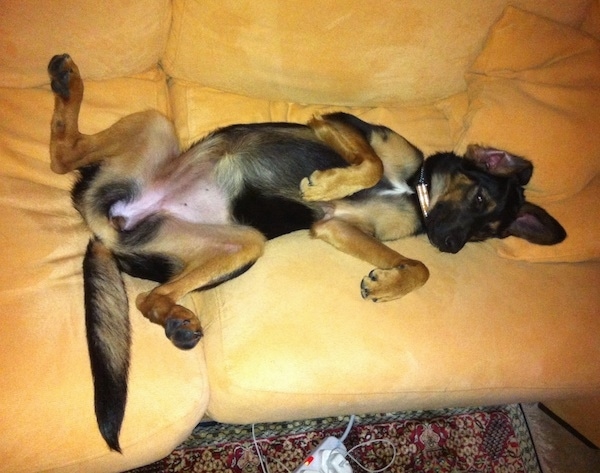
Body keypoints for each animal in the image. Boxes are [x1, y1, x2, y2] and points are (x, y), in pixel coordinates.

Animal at [48, 53, 568, 452]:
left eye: (488, 233)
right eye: (479, 200)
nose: (451, 246)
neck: (414, 192)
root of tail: (109, 230)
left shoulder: (337, 226)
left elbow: (417, 267)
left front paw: (388, 283)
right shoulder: (337, 124)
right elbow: (369, 163)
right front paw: (329, 183)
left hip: (244, 244)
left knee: (147, 297)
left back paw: (177, 321)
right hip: (156, 127)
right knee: (61, 156)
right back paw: (66, 80)